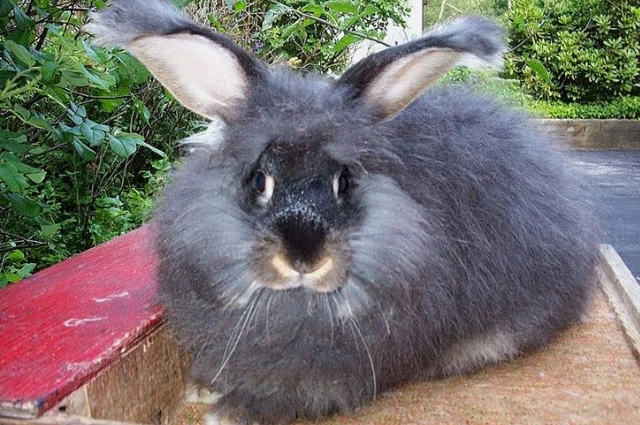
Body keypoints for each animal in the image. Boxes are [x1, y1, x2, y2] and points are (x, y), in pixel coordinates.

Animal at [85, 1, 600, 422]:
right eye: (259, 181)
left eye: (344, 182)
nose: (304, 258)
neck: (294, 303)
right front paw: (203, 388)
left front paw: (234, 410)